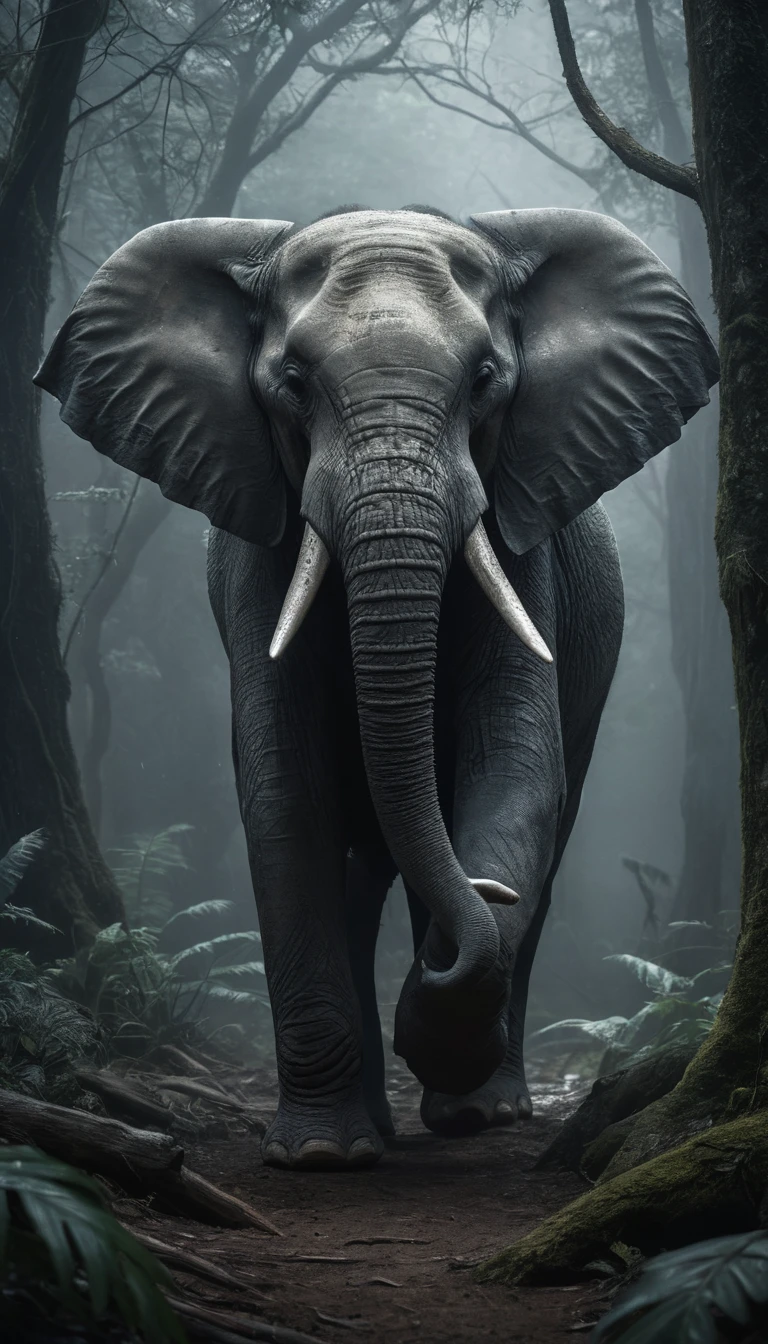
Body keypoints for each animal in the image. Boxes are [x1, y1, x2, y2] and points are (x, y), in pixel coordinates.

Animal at [36, 204, 718, 1170]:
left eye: (485, 382)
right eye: (291, 383)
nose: (467, 915)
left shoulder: (525, 547)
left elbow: (513, 772)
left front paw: (443, 1042)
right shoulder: (256, 556)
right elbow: (286, 795)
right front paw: (320, 1157)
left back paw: (481, 1110)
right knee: (359, 877)